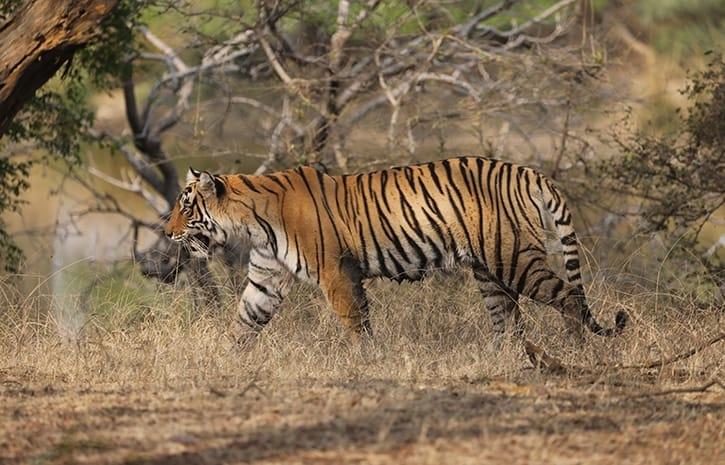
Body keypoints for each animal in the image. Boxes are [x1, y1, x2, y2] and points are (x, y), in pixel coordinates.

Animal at [164, 156, 627, 342]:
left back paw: (571, 348)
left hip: (513, 258)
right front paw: (226, 362)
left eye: (186, 207)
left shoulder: (337, 273)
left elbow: (356, 325)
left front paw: (365, 362)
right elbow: (243, 321)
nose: (166, 232)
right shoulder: (266, 278)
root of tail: (530, 171)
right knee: (509, 319)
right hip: (490, 272)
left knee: (567, 296)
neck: (252, 224)